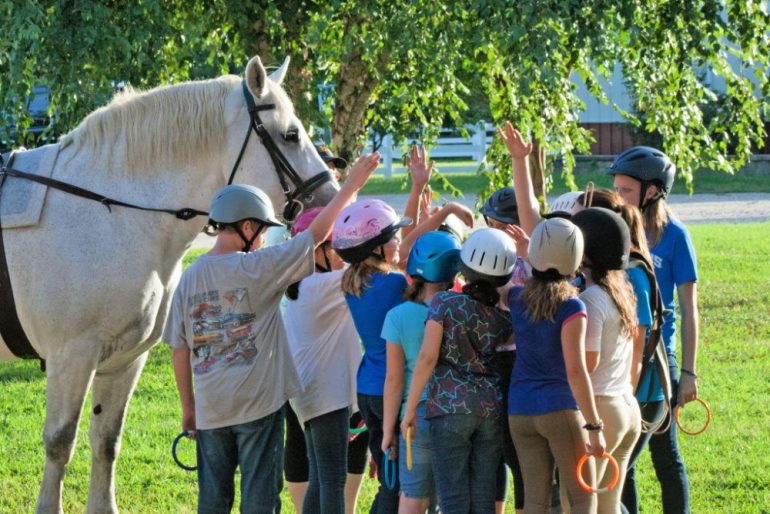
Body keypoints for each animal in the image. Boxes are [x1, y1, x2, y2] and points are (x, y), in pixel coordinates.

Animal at [0, 55, 338, 513]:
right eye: (290, 135)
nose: (332, 199)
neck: (110, 214)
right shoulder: (71, 357)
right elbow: (59, 443)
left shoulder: (124, 359)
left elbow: (105, 441)